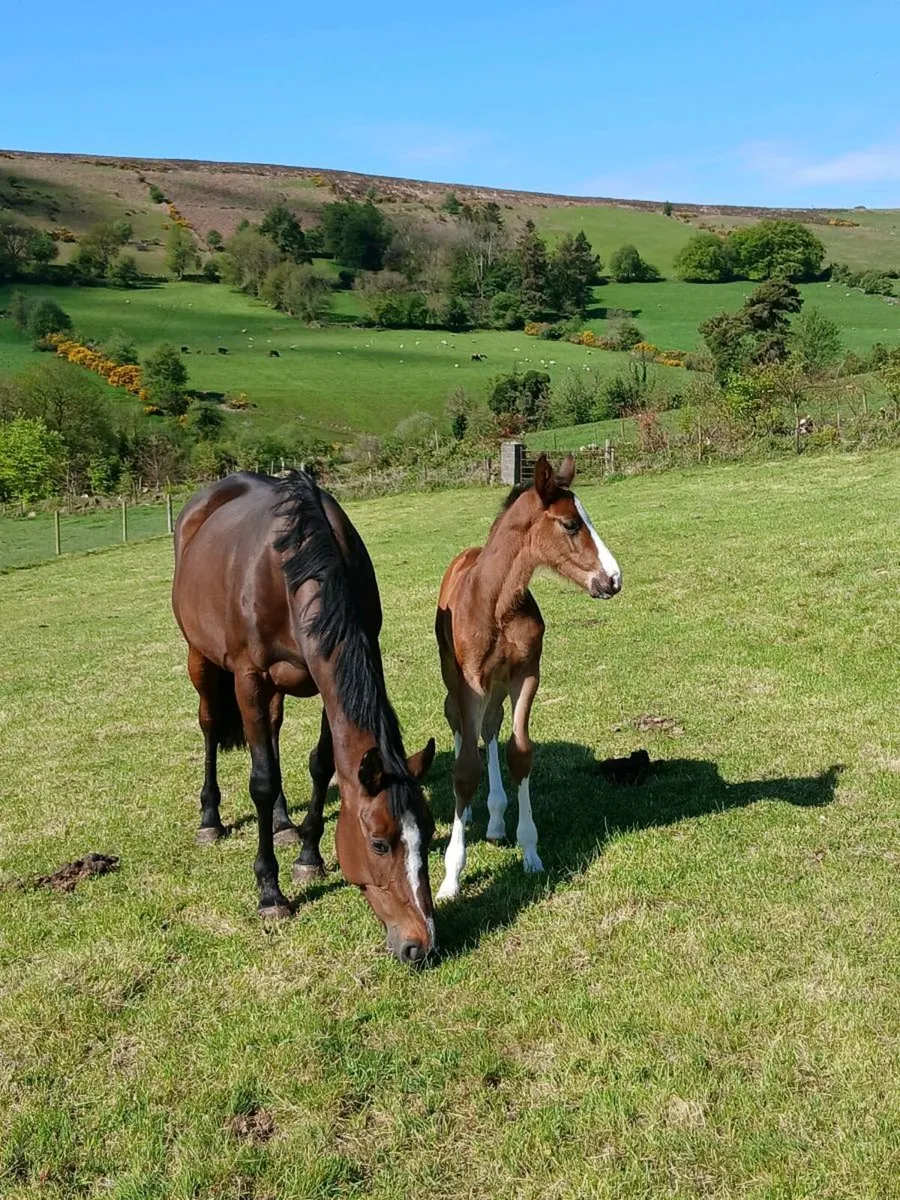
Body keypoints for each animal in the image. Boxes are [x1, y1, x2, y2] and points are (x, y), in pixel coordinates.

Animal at [171, 471, 437, 963]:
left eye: (428, 834)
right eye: (379, 843)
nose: (421, 944)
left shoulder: (326, 672)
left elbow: (322, 765)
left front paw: (309, 856)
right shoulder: (249, 677)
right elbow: (261, 780)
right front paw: (270, 893)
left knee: (272, 733)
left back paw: (281, 824)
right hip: (201, 656)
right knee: (211, 725)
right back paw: (210, 819)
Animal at [434, 453, 621, 900]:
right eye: (570, 524)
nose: (613, 579)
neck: (497, 603)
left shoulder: (526, 676)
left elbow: (519, 752)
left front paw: (530, 851)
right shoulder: (470, 683)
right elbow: (465, 769)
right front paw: (451, 876)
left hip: (499, 687)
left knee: (490, 729)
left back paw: (497, 819)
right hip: (456, 679)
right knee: (460, 726)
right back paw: (470, 815)